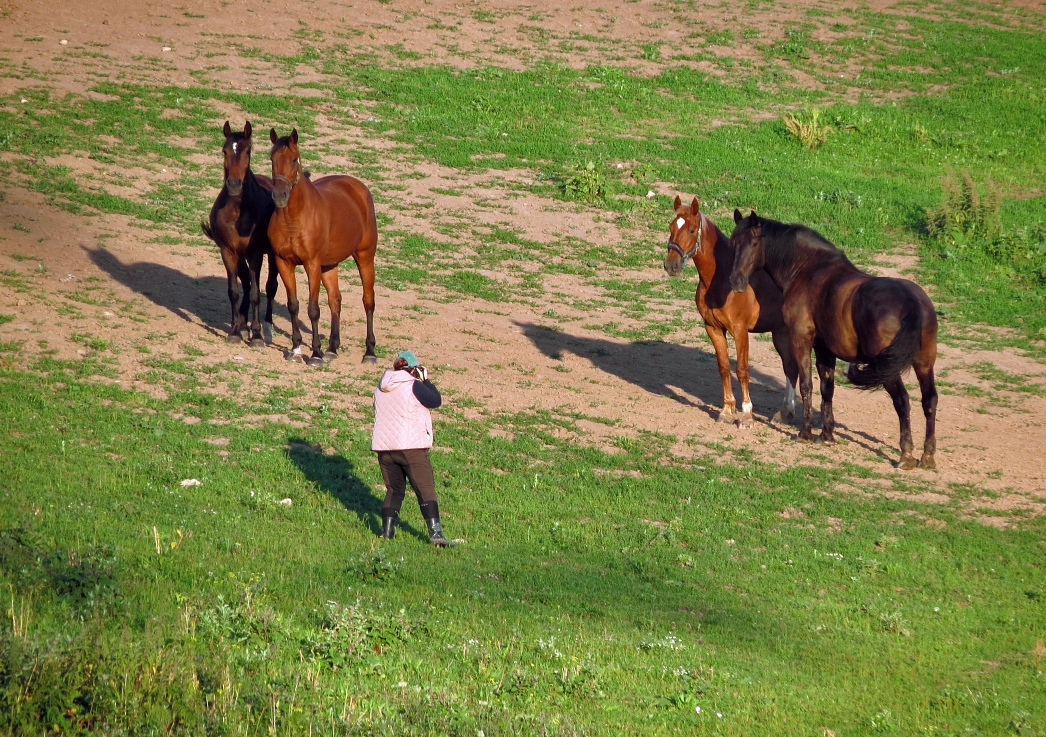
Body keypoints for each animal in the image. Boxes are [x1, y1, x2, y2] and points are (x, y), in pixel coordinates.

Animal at [200, 121, 280, 347]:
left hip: (272, 256)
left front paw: (257, 335)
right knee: (244, 281)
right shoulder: (228, 251)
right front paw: (236, 330)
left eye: (248, 151)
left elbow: (255, 293)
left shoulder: (255, 254)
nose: (234, 184)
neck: (238, 211)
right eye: (224, 151)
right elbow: (234, 291)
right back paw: (242, 324)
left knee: (271, 286)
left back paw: (265, 329)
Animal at [267, 130, 378, 367]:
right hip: (329, 265)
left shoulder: (312, 265)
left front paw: (316, 353)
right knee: (335, 300)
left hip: (365, 257)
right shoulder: (284, 262)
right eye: (272, 159)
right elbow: (293, 305)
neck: (294, 219)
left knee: (368, 301)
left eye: (293, 159)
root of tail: (359, 188)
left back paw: (369, 352)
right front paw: (296, 349)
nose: (279, 196)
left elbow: (313, 309)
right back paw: (332, 348)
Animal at [661, 195, 799, 426]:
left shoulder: (740, 331)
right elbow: (724, 367)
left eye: (691, 230)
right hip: (780, 333)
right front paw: (727, 411)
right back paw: (785, 413)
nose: (672, 265)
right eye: (671, 227)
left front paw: (747, 415)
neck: (721, 278)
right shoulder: (713, 328)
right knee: (791, 367)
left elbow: (742, 370)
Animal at [728, 210, 941, 468]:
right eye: (733, 243)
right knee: (929, 401)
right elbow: (827, 388)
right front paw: (827, 435)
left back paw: (906, 454)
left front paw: (805, 433)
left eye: (754, 243)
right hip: (924, 363)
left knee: (902, 401)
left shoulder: (801, 340)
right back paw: (927, 456)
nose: (736, 281)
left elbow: (806, 385)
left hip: (890, 370)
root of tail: (910, 300)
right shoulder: (824, 349)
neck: (809, 271)